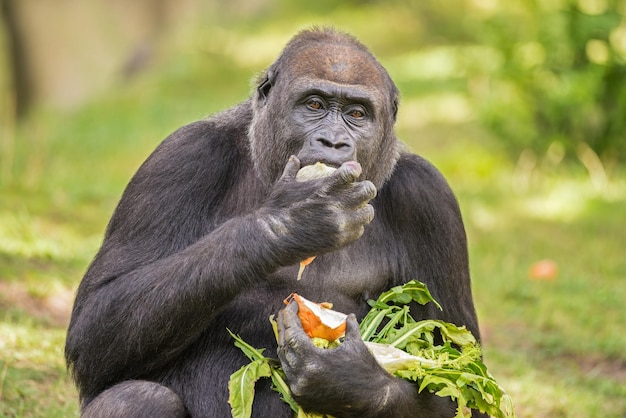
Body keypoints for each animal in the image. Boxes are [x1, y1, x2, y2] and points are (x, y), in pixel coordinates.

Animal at [64, 27, 482, 418]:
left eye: (357, 114)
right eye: (314, 104)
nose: (333, 142)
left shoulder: (429, 198)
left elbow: (460, 375)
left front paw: (349, 379)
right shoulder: (182, 156)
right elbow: (95, 327)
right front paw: (293, 222)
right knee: (139, 397)